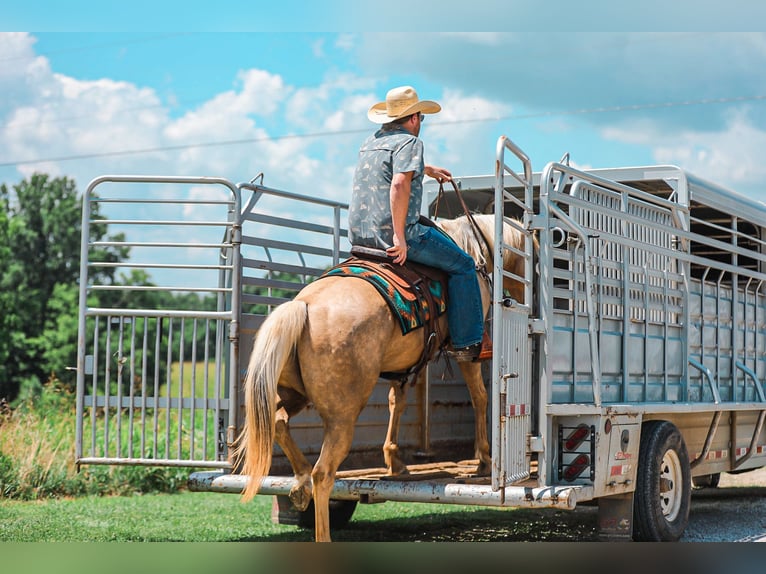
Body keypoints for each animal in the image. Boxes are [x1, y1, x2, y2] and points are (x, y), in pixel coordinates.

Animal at [234, 213, 528, 542]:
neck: (474, 248)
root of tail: (303, 307)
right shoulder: (467, 351)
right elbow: (480, 396)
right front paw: (484, 459)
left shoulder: (406, 363)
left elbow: (396, 402)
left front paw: (395, 461)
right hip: (341, 418)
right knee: (323, 473)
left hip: (294, 394)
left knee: (278, 422)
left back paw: (300, 483)